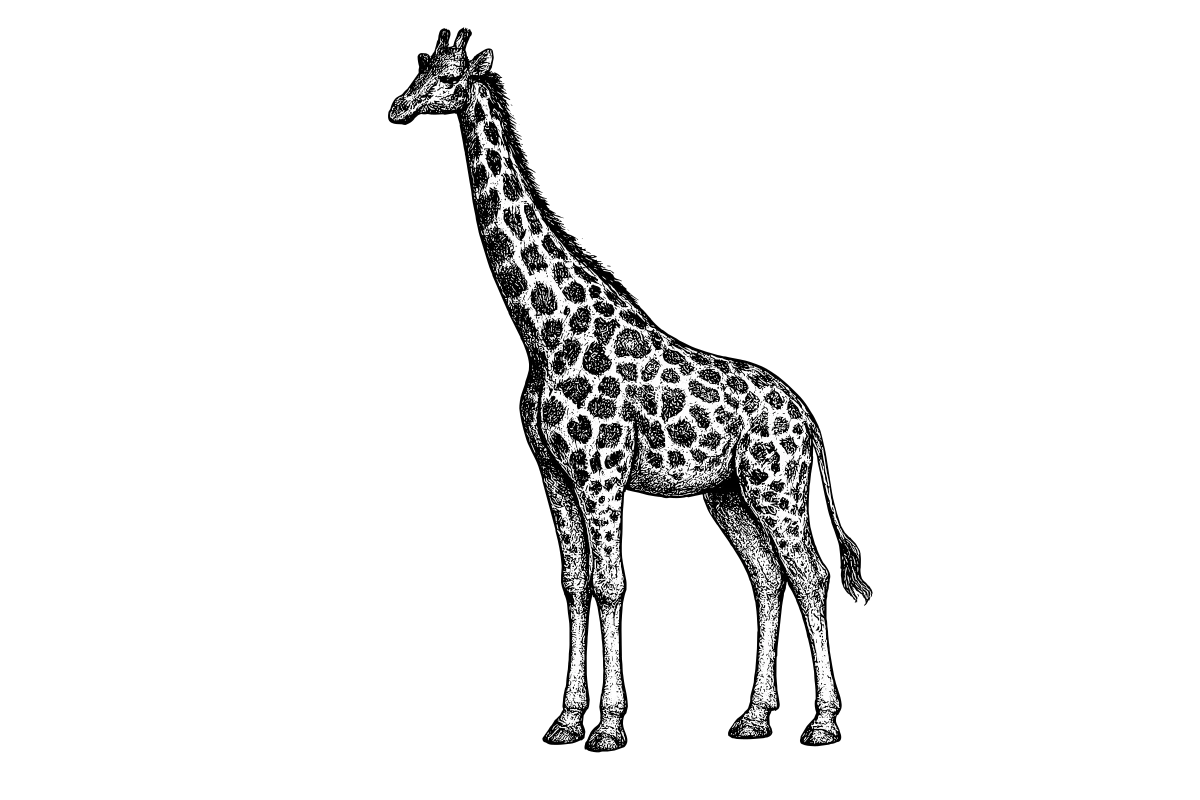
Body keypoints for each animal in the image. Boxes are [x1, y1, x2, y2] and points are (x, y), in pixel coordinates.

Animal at [391, 30, 871, 750]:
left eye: (448, 78)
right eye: (421, 69)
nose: (399, 105)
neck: (548, 332)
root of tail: (808, 421)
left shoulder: (603, 474)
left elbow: (612, 585)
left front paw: (610, 724)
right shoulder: (555, 476)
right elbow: (573, 583)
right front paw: (567, 718)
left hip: (776, 485)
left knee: (810, 575)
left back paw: (824, 721)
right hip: (729, 495)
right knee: (767, 576)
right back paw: (755, 715)